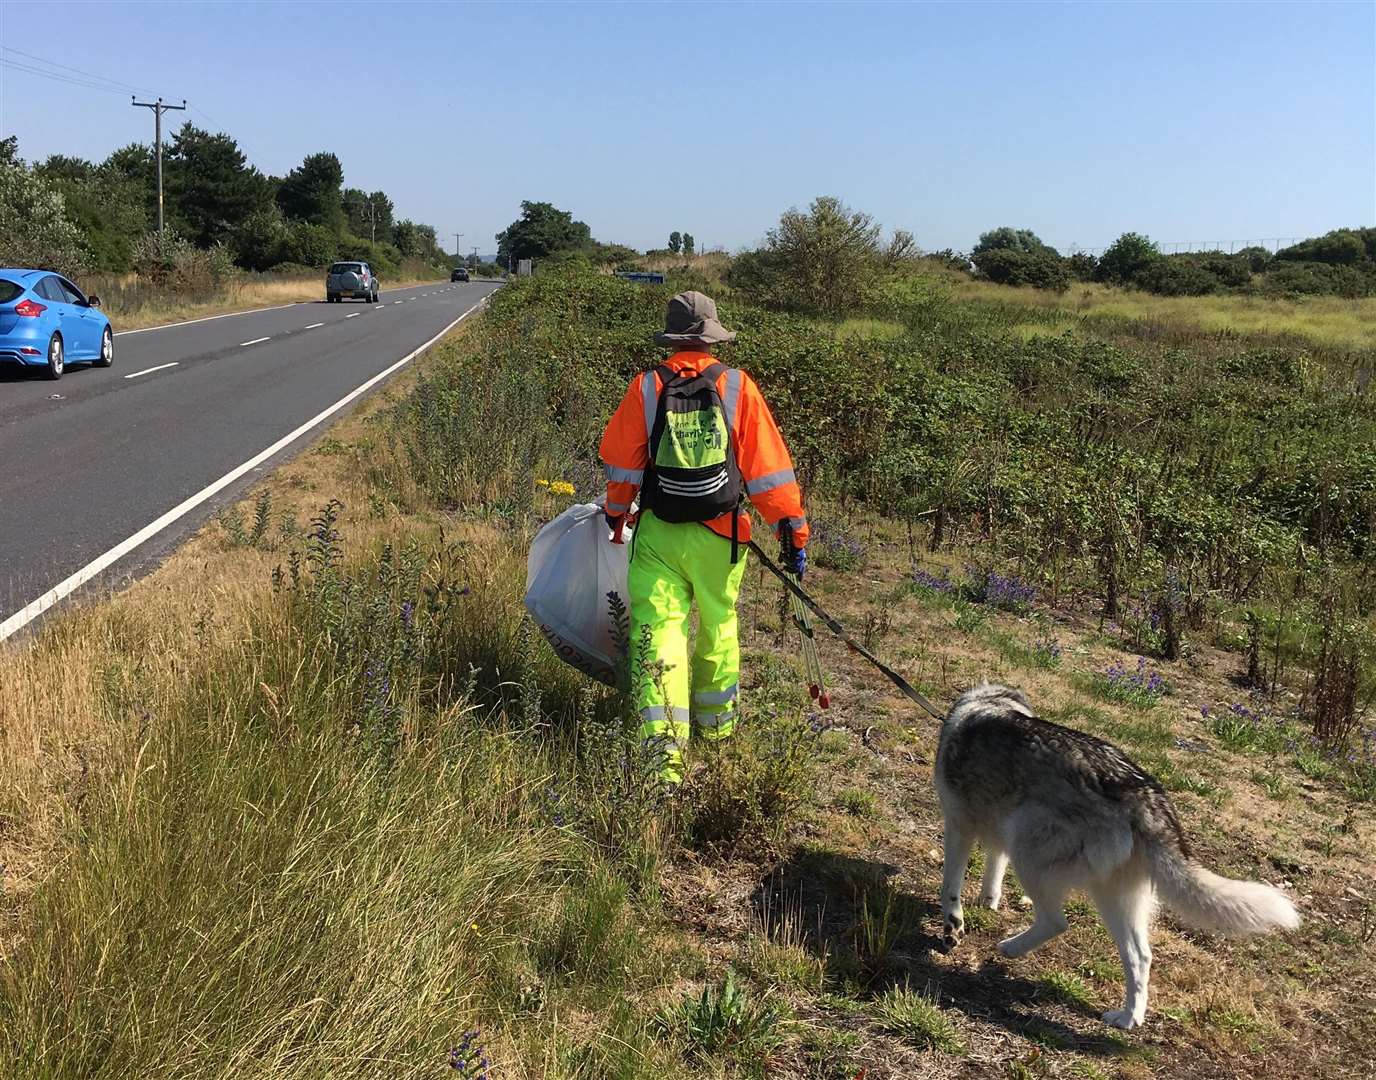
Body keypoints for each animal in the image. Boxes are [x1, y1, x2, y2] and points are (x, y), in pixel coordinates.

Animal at [935, 682, 1298, 1029]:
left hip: (1030, 850)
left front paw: (954, 925)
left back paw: (1010, 948)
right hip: (1115, 895)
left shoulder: (959, 827)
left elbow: (950, 886)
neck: (988, 703)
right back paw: (1128, 1018)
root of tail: (1146, 796)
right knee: (1140, 956)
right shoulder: (997, 832)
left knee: (1056, 922)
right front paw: (988, 901)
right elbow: (994, 868)